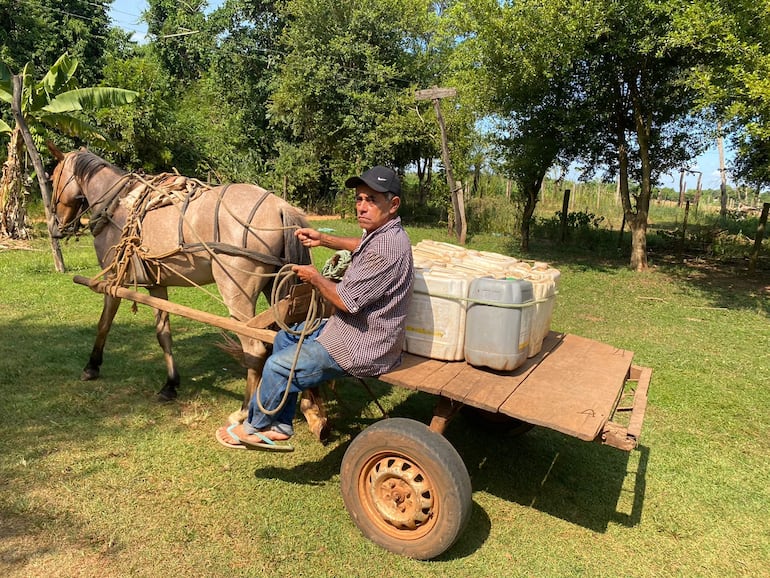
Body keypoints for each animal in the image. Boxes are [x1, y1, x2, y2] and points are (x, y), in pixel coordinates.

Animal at [48, 143, 308, 404]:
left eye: (52, 179)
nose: (55, 227)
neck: (117, 204)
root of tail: (280, 206)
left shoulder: (113, 281)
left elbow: (103, 323)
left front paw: (92, 366)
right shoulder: (155, 285)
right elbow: (163, 334)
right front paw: (170, 384)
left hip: (236, 293)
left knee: (255, 348)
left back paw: (247, 409)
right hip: (275, 287)